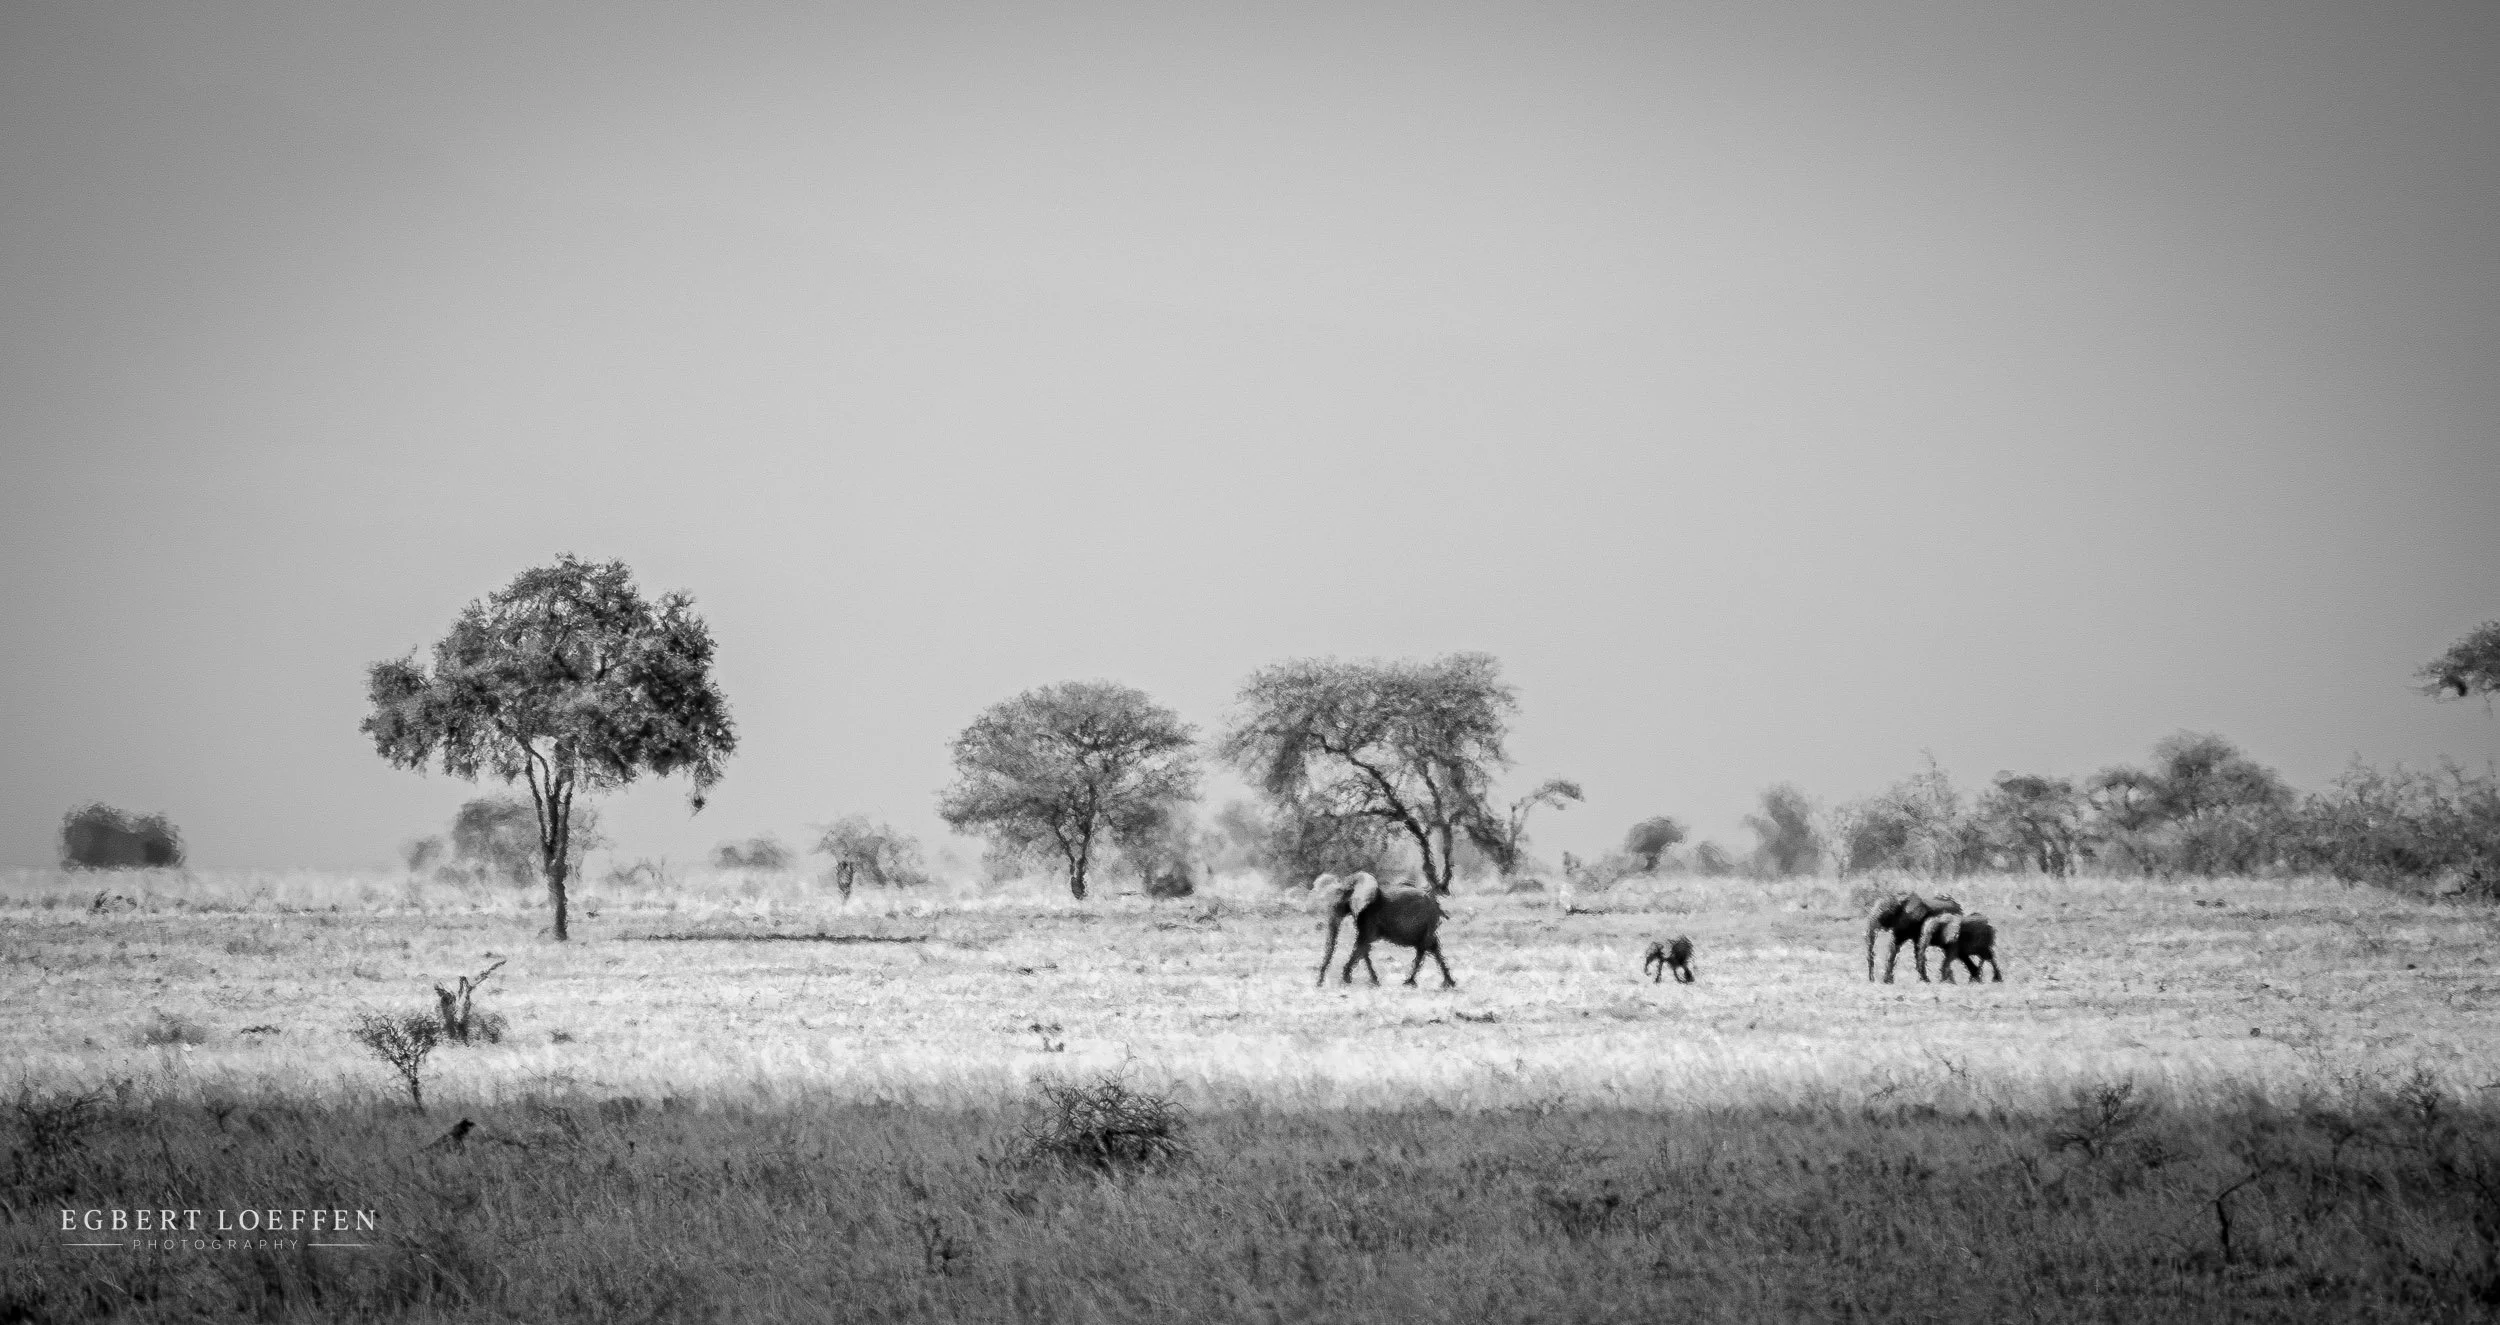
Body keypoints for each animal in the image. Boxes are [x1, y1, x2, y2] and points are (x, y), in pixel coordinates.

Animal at [1314, 872, 1455, 988]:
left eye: (1340, 905)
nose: (1319, 984)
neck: (1349, 881)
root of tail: (1436, 904)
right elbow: (1364, 946)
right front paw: (1374, 982)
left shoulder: (1370, 914)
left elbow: (1362, 942)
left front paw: (1345, 980)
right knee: (1432, 946)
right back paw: (1448, 984)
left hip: (1429, 919)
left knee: (1424, 946)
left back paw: (1409, 983)